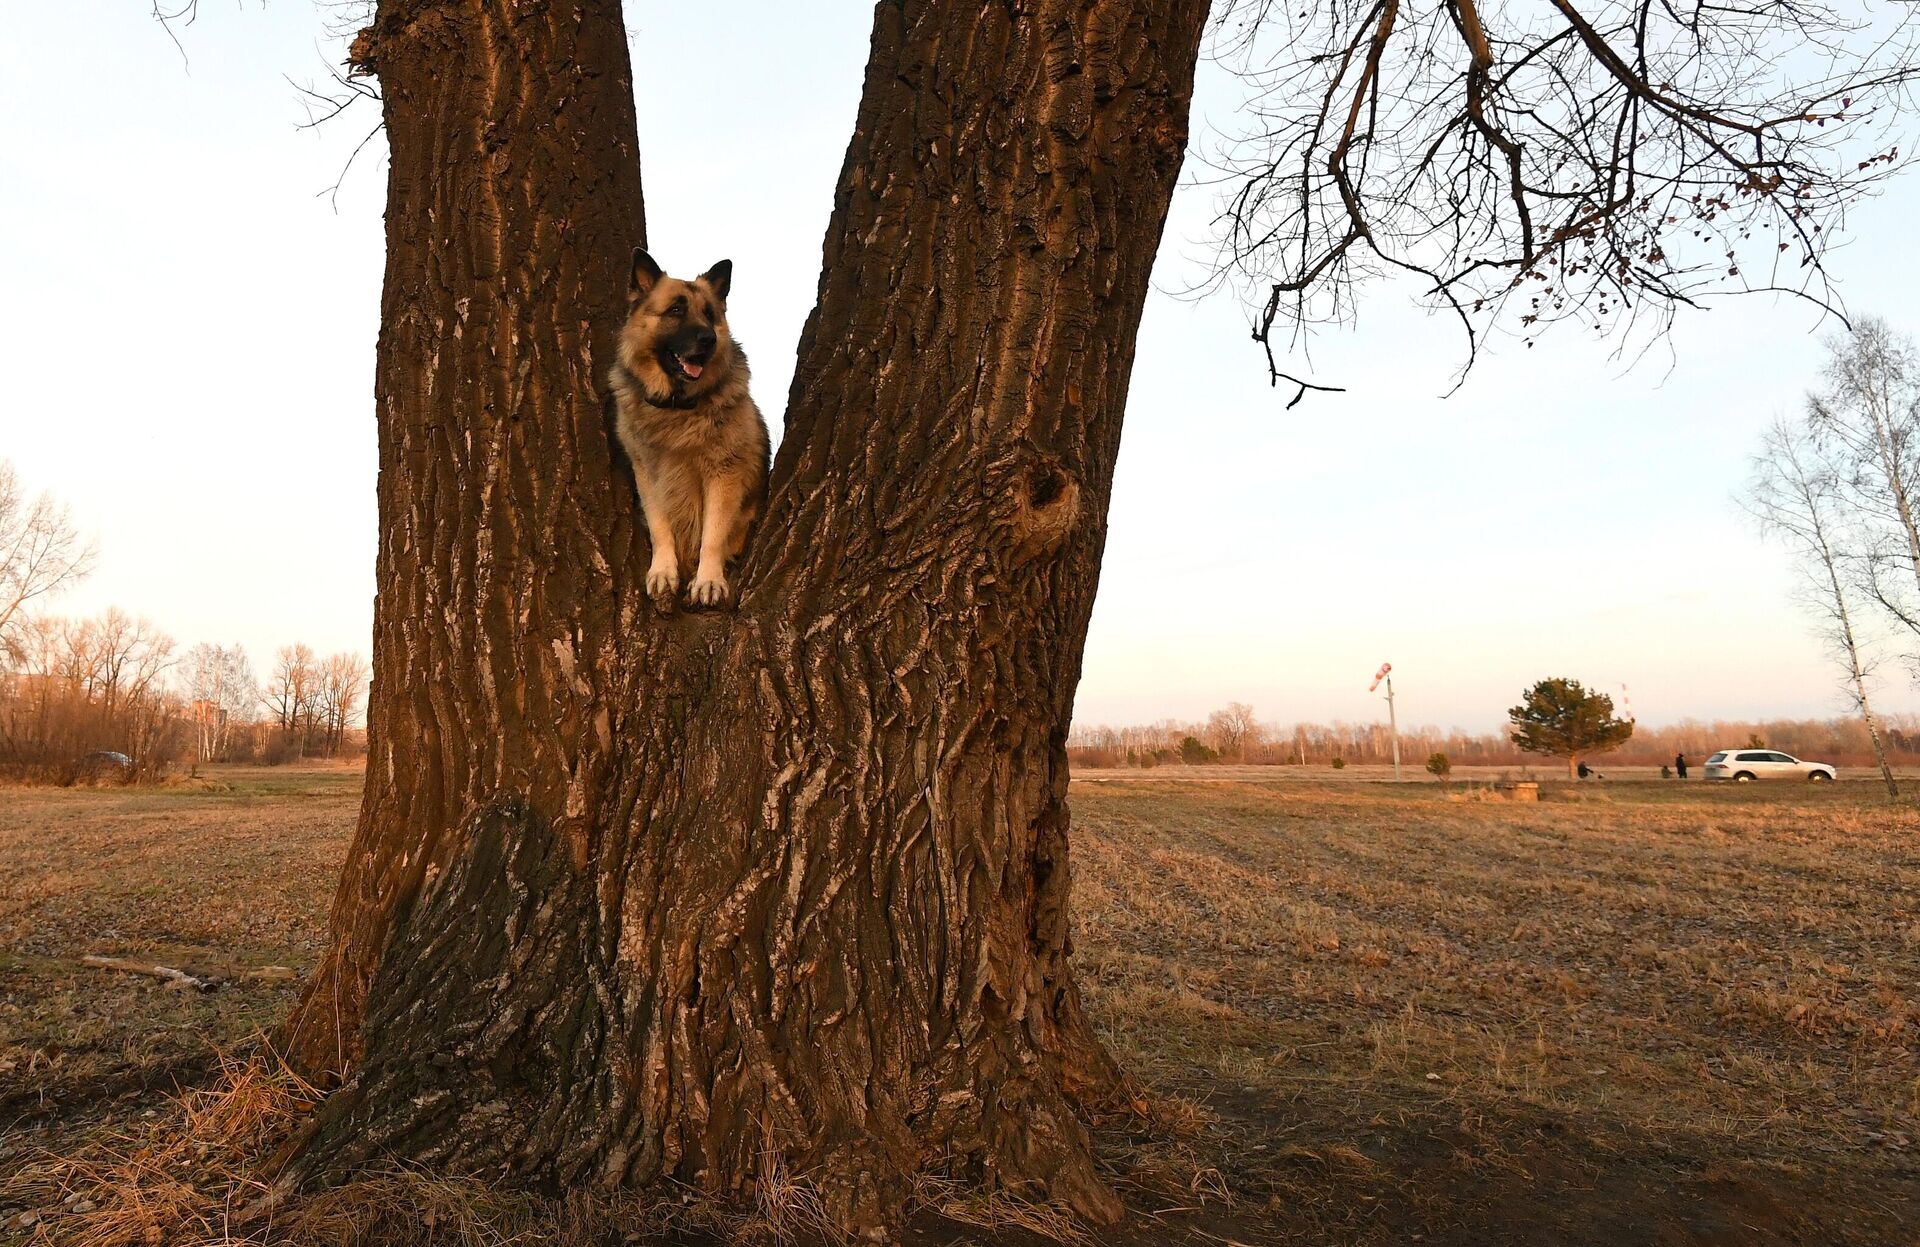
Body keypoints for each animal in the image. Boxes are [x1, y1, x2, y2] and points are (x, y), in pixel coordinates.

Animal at [610, 249, 768, 607]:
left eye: (710, 315)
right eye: (676, 310)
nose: (709, 339)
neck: (676, 406)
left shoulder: (723, 474)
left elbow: (713, 533)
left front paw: (708, 580)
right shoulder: (647, 473)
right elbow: (660, 526)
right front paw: (663, 572)